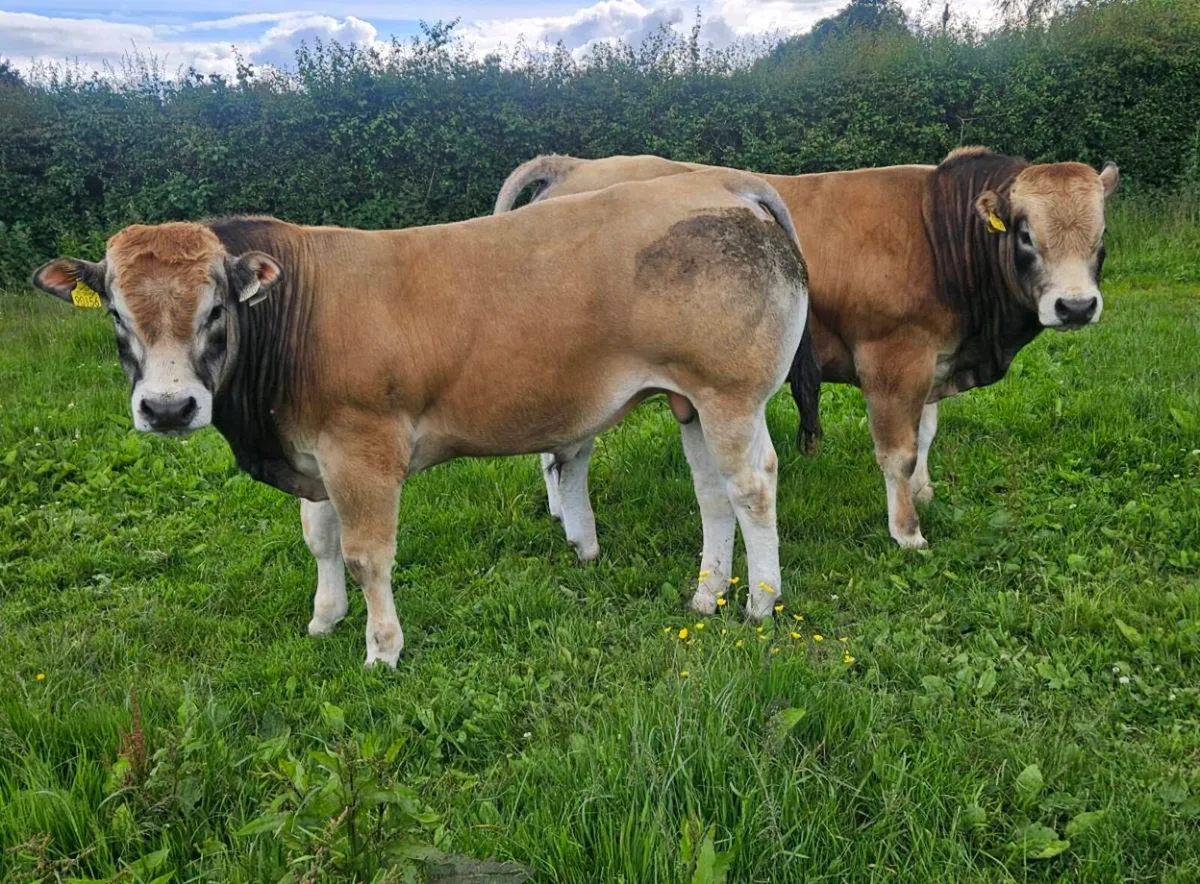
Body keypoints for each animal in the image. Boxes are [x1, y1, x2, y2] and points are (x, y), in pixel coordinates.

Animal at [31, 169, 811, 667]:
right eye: (115, 313)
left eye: (216, 309)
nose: (168, 408)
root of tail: (723, 184)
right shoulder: (316, 455)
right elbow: (320, 540)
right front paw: (324, 619)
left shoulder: (362, 451)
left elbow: (367, 553)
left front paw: (382, 650)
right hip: (692, 401)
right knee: (712, 495)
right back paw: (707, 593)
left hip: (731, 395)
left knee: (752, 487)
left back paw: (759, 604)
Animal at [495, 147, 1119, 549]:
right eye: (1025, 233)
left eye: (1102, 236)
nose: (1075, 306)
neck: (938, 232)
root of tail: (575, 166)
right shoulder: (893, 359)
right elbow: (898, 450)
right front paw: (907, 530)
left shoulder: (933, 360)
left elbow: (926, 434)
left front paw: (924, 494)